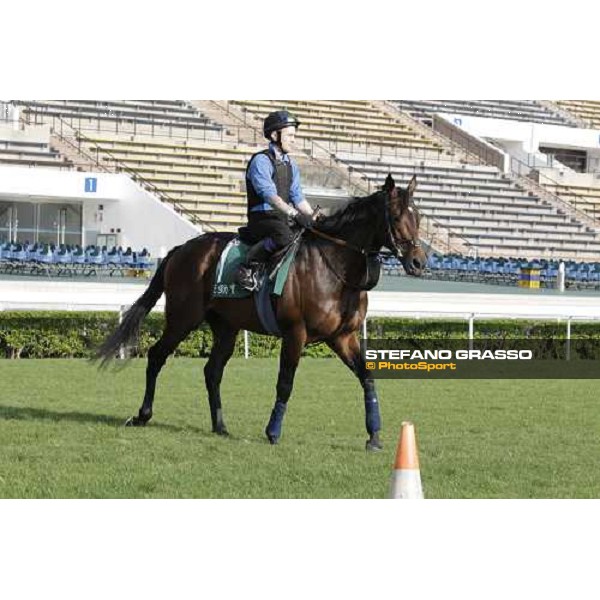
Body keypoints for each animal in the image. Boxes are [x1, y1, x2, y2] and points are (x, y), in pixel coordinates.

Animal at [97, 173, 426, 450]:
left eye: (419, 216)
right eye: (398, 216)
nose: (419, 262)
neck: (333, 268)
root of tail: (180, 249)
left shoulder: (343, 337)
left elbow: (367, 378)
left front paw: (374, 436)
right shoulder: (295, 333)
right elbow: (285, 383)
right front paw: (273, 431)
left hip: (226, 327)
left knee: (212, 371)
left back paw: (220, 425)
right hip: (182, 319)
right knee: (156, 356)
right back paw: (143, 414)